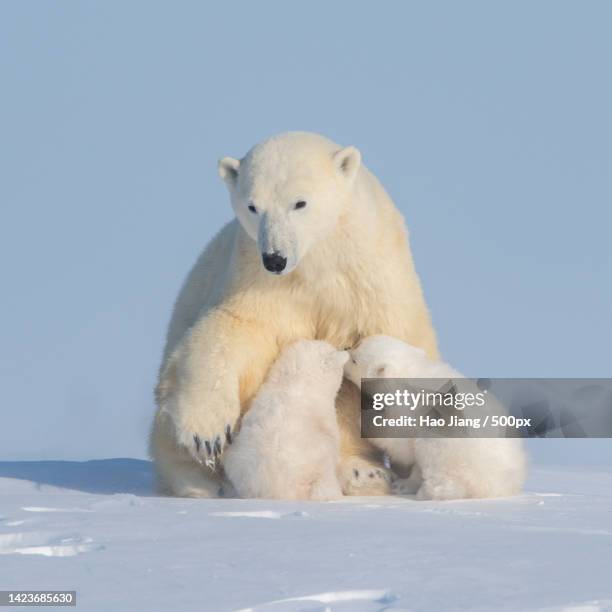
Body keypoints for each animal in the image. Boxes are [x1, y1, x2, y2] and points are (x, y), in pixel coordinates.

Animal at [344, 338, 524, 500]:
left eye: (354, 360)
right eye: (356, 346)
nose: (345, 350)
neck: (410, 372)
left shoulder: (409, 407)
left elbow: (398, 439)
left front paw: (364, 418)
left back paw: (419, 489)